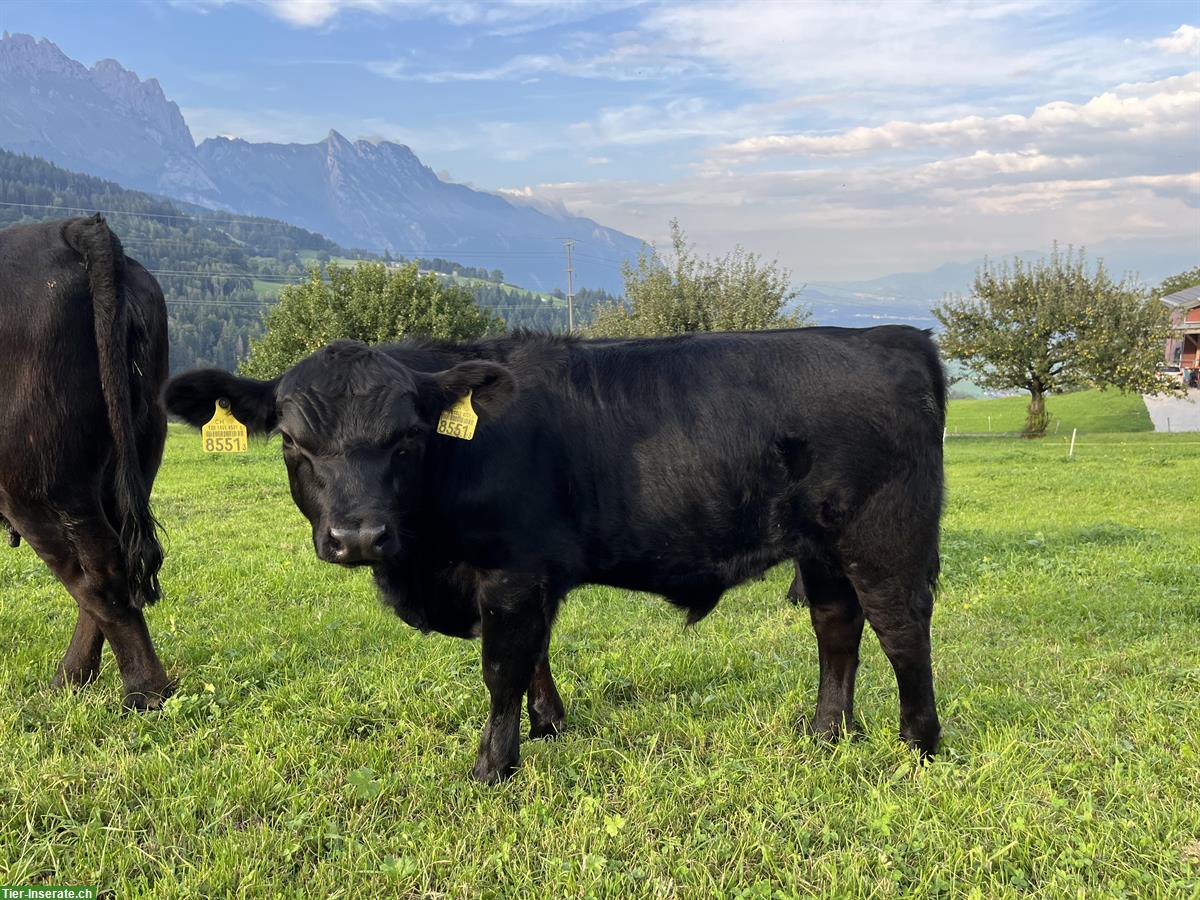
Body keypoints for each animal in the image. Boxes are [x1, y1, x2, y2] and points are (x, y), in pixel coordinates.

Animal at [0, 214, 174, 710]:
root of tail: (70, 228)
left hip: (38, 482)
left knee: (98, 573)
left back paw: (142, 690)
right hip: (132, 459)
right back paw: (73, 679)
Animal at [166, 328, 945, 777]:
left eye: (407, 437)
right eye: (293, 442)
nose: (357, 537)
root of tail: (894, 336)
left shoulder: (509, 570)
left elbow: (501, 668)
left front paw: (493, 764)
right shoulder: (531, 575)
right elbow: (536, 652)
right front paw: (548, 728)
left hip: (885, 537)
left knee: (902, 632)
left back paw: (919, 744)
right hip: (821, 549)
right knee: (837, 629)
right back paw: (827, 733)